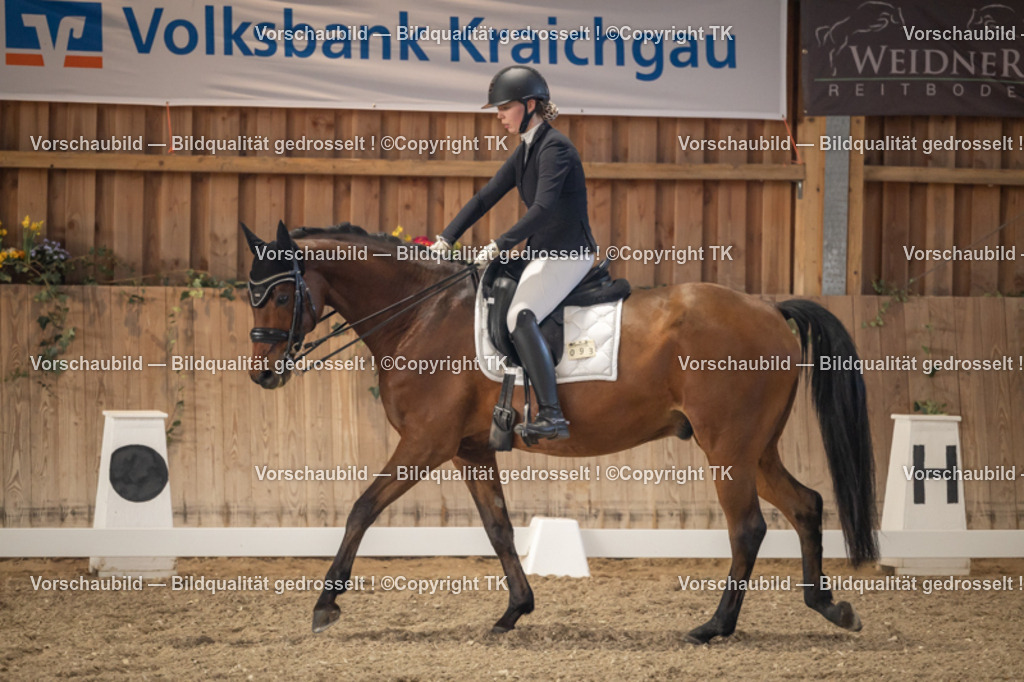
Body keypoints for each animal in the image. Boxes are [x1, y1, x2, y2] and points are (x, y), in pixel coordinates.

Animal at [241, 221, 878, 644]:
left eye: (280, 292)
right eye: (251, 293)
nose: (262, 374)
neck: (421, 315)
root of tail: (769, 309)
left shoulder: (425, 444)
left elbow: (361, 508)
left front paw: (326, 604)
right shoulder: (470, 450)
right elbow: (498, 528)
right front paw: (514, 611)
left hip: (728, 448)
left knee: (748, 528)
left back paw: (714, 626)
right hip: (755, 450)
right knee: (806, 505)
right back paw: (828, 605)